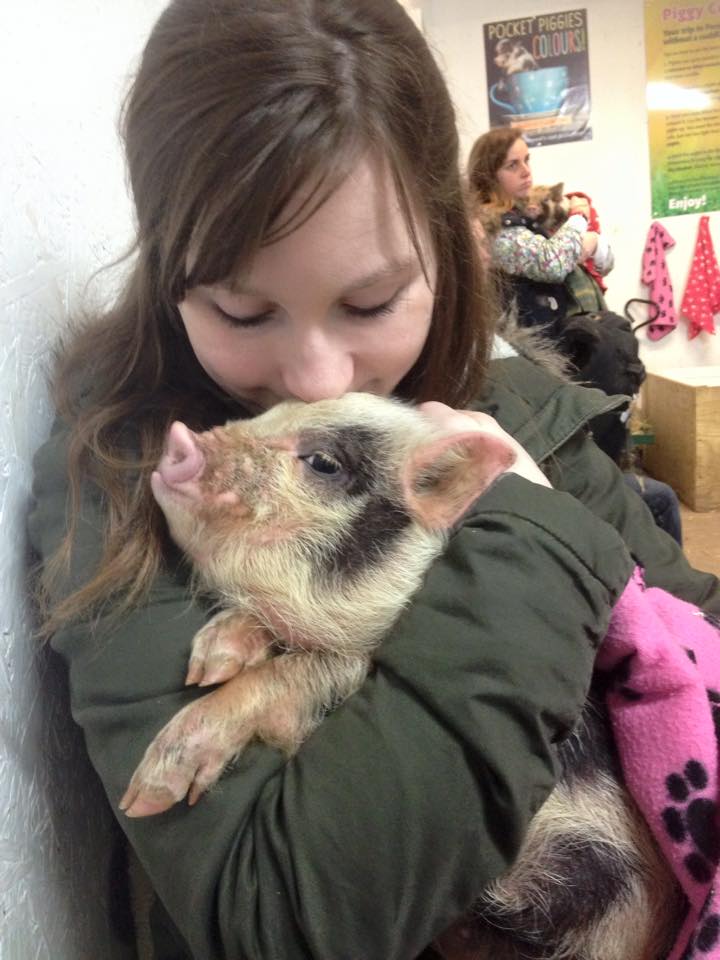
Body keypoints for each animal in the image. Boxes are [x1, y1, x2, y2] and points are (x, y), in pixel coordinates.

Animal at [120, 393, 682, 960]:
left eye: (324, 463)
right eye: (270, 412)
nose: (179, 436)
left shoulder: (355, 665)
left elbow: (302, 672)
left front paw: (145, 797)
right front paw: (209, 661)